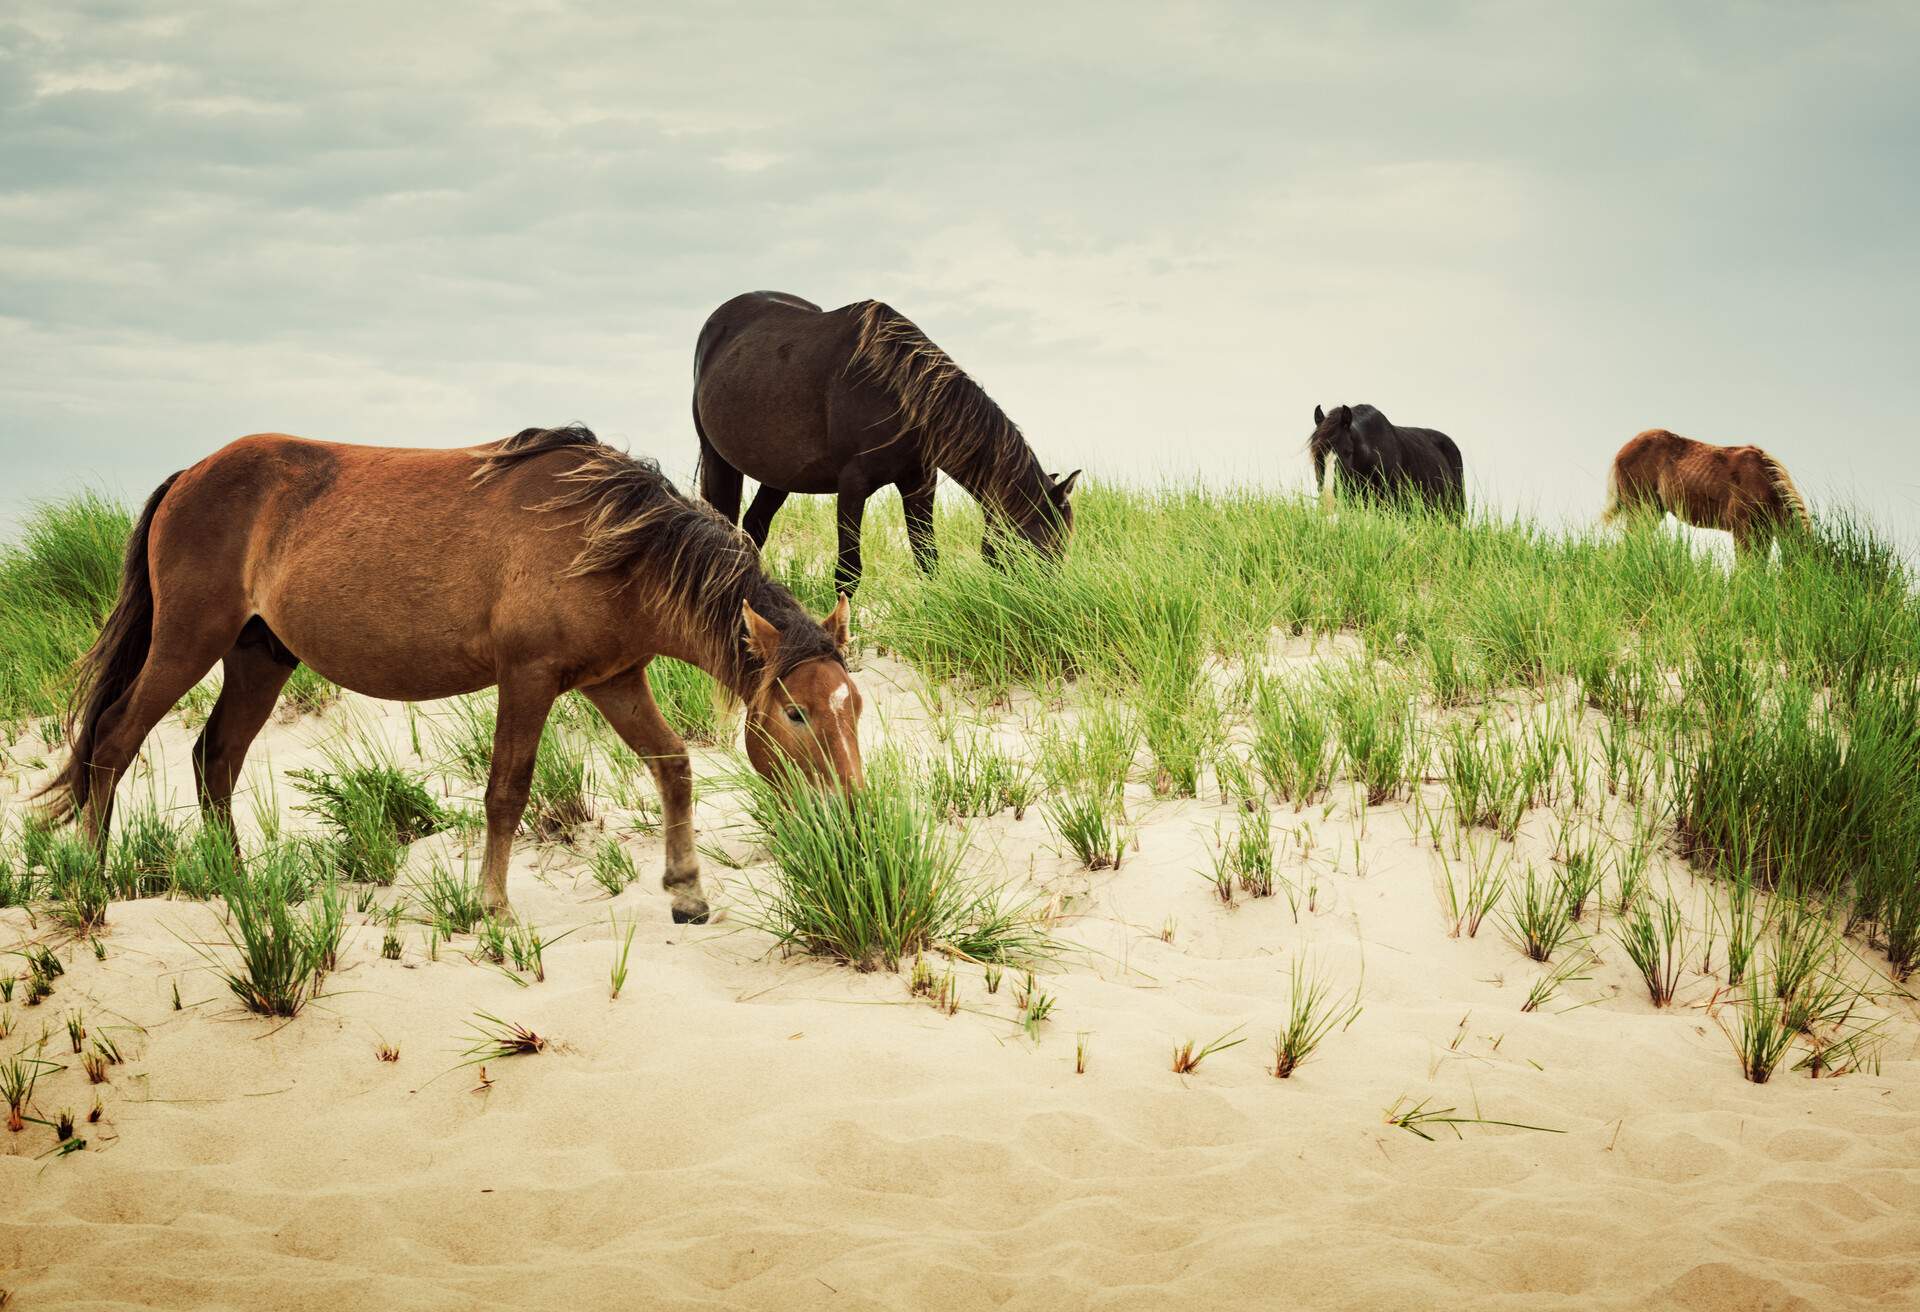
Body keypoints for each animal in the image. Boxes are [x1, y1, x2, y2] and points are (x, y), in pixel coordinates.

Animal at [35, 428, 864, 922]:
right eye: (796, 714)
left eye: (854, 708)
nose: (854, 816)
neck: (610, 540)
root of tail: (190, 475)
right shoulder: (528, 678)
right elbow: (507, 792)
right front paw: (492, 908)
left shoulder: (616, 679)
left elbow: (672, 766)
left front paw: (686, 891)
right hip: (186, 642)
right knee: (114, 742)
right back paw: (94, 885)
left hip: (257, 658)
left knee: (216, 759)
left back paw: (239, 887)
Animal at [691, 291, 1082, 595]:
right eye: (1036, 546)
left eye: (1063, 546)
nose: (1046, 604)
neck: (897, 389)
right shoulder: (852, 486)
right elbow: (848, 573)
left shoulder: (919, 483)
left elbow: (927, 560)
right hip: (718, 459)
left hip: (780, 474)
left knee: (754, 526)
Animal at [1605, 428, 1812, 557]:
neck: (1763, 482)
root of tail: (1622, 451)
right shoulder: (1743, 530)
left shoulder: (1764, 533)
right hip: (1640, 510)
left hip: (1654, 511)